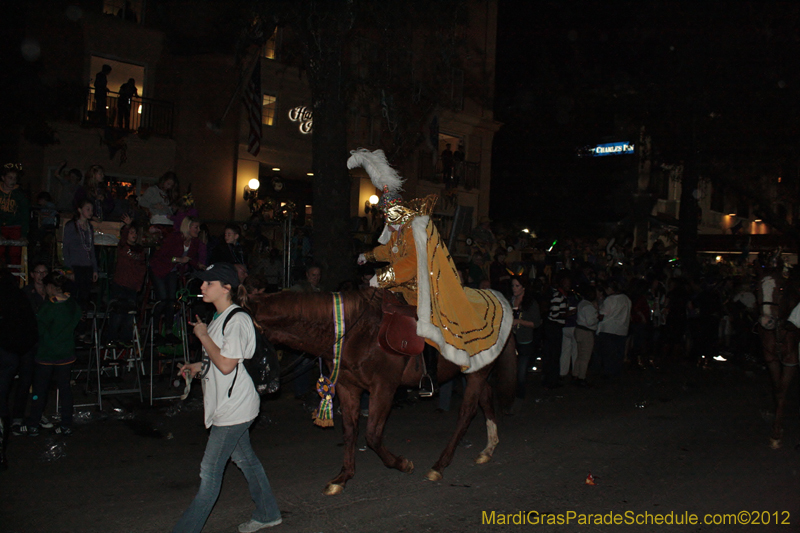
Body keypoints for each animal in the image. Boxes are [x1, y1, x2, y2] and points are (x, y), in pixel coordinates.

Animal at [248, 288, 512, 492]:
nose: (265, 386)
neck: (355, 333)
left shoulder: (384, 387)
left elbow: (373, 435)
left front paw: (402, 464)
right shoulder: (347, 387)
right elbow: (350, 431)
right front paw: (343, 477)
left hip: (476, 372)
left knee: (467, 412)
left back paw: (440, 465)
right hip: (476, 371)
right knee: (486, 398)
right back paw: (488, 449)